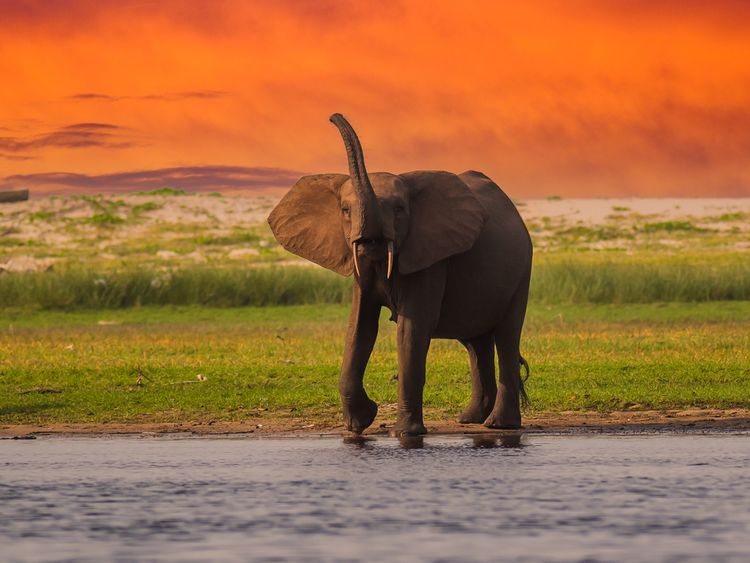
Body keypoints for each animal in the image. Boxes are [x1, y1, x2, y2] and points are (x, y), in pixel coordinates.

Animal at [270, 113, 536, 436]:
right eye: (345, 210)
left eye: (399, 208)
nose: (332, 117)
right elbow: (359, 326)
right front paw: (359, 424)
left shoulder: (429, 257)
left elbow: (411, 329)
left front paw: (406, 433)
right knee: (476, 343)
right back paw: (470, 419)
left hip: (522, 270)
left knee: (506, 337)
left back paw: (499, 425)